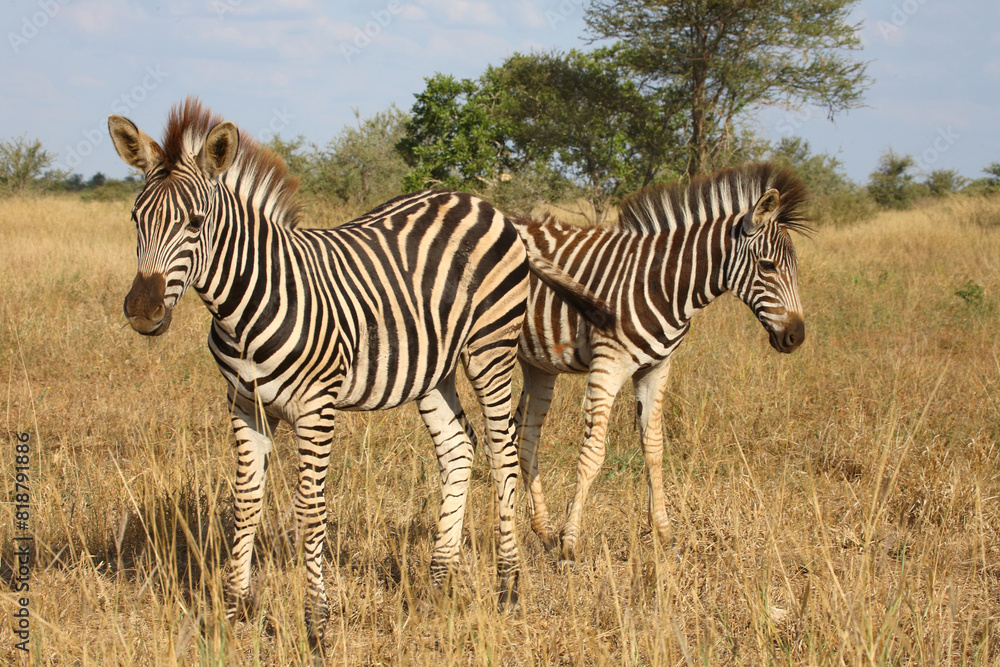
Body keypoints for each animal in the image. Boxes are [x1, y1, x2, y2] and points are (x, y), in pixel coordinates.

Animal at [107, 98, 613, 645]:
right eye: (135, 219)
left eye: (196, 223)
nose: (142, 311)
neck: (246, 303)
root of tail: (485, 205)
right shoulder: (244, 403)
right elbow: (244, 503)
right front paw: (233, 610)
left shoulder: (316, 407)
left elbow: (311, 511)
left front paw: (316, 622)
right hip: (432, 369)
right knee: (459, 449)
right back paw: (439, 582)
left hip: (489, 350)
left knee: (504, 454)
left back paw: (509, 588)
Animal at [512, 163, 809, 562]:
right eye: (767, 266)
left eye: (795, 267)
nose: (796, 336)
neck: (663, 284)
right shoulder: (608, 364)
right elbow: (592, 454)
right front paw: (571, 543)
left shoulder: (656, 368)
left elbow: (654, 450)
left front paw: (665, 535)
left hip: (538, 364)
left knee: (525, 435)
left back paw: (540, 531)